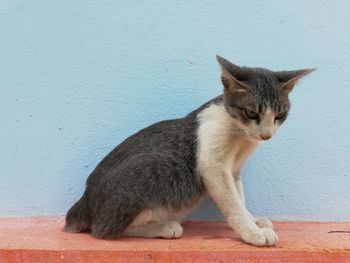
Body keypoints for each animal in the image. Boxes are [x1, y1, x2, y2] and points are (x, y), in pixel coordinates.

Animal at [64, 55, 316, 248]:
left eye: (280, 114)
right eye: (252, 113)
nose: (266, 135)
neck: (240, 137)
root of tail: (84, 201)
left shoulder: (234, 170)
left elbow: (239, 196)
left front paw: (254, 221)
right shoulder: (214, 166)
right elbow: (233, 203)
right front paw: (252, 232)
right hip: (144, 167)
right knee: (103, 229)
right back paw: (164, 227)